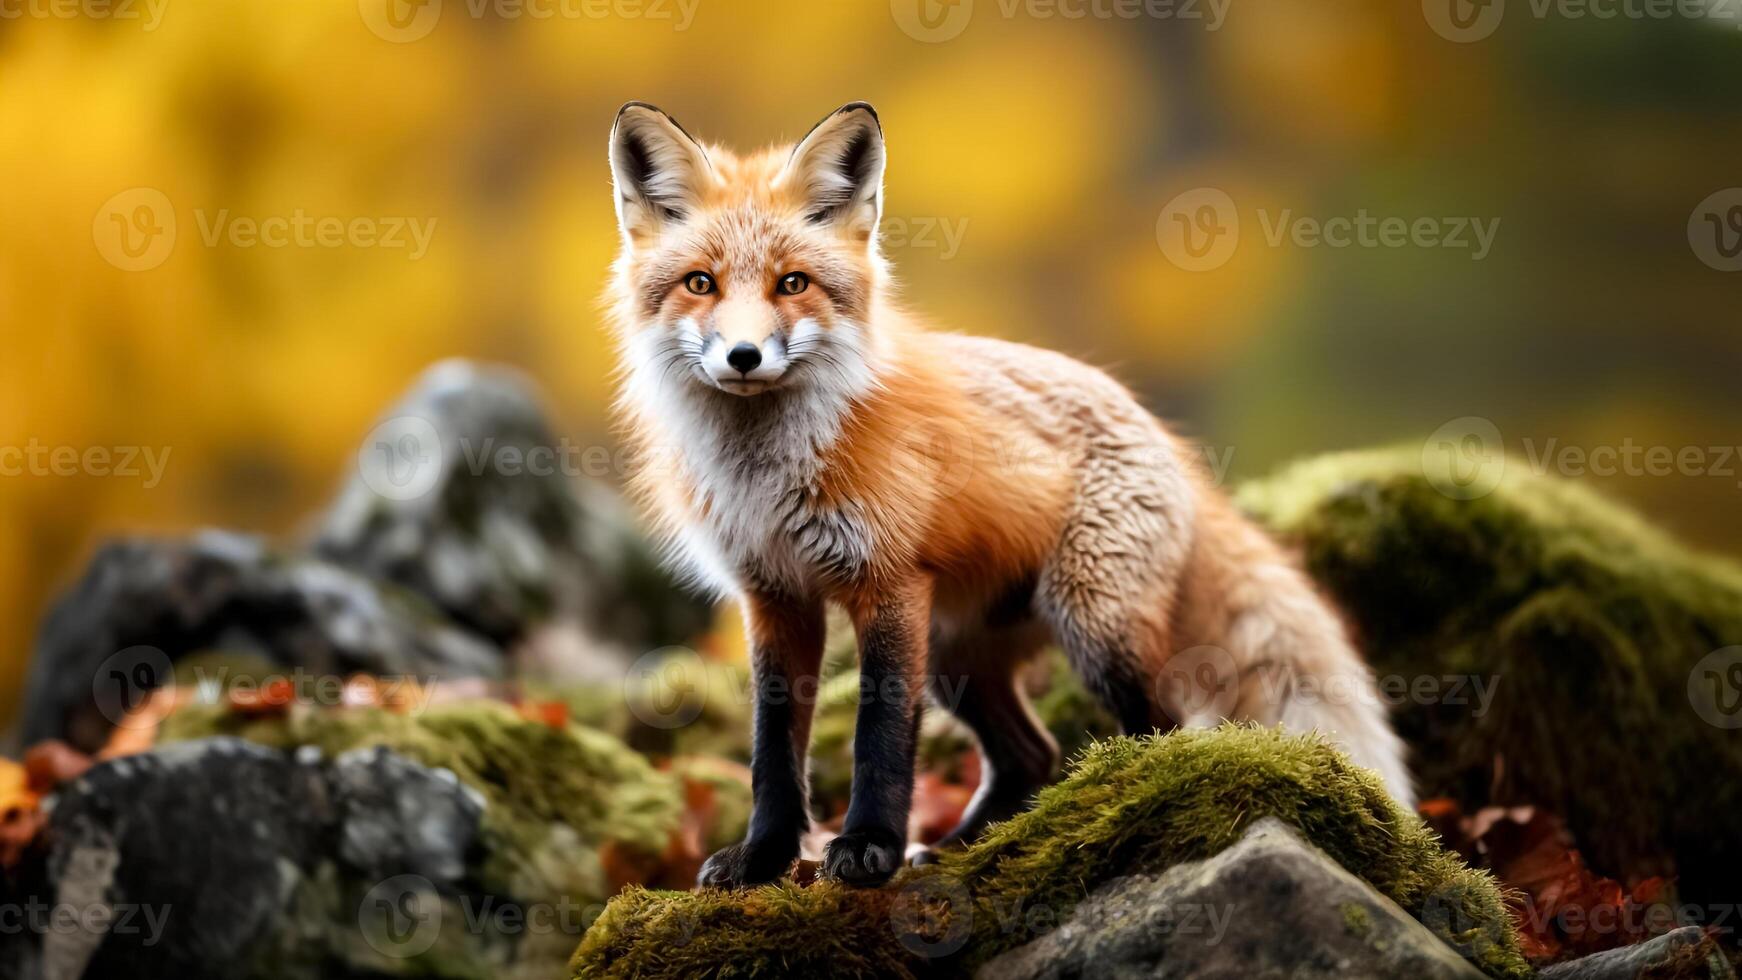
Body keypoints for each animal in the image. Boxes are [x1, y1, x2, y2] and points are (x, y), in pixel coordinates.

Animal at [606, 103, 1407, 891]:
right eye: (701, 284)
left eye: (793, 284)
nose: (743, 357)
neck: (766, 473)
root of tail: (1167, 439)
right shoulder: (774, 596)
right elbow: (772, 750)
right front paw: (764, 858)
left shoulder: (887, 583)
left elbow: (879, 737)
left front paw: (868, 848)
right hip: (957, 656)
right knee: (1033, 752)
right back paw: (960, 846)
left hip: (1092, 625)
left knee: (1165, 725)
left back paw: (1132, 803)